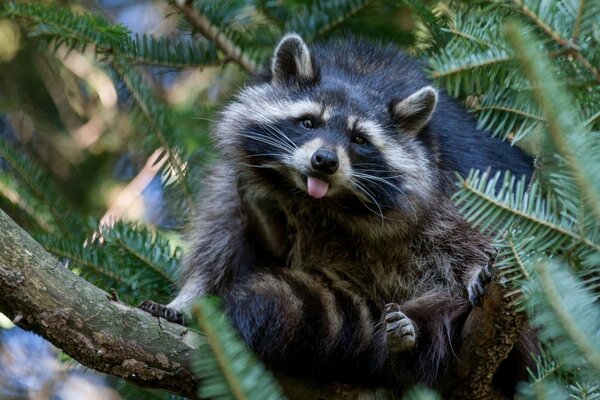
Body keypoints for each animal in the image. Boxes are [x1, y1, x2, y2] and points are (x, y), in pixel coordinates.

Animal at [141, 36, 536, 392]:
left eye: (359, 139)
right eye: (308, 122)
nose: (324, 161)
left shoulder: (449, 182)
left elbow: (466, 235)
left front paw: (471, 271)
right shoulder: (239, 176)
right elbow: (218, 236)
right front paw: (190, 296)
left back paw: (413, 334)